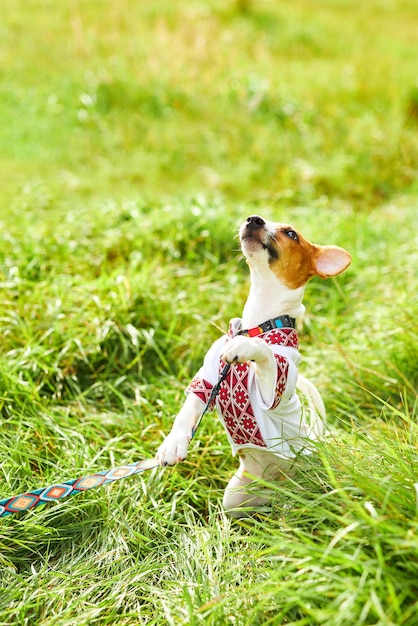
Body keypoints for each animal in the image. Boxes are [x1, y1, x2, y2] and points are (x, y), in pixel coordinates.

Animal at [155, 212, 352, 516]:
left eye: (291, 234)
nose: (253, 219)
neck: (257, 323)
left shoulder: (277, 381)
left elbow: (265, 353)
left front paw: (245, 347)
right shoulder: (208, 380)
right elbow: (186, 412)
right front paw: (173, 444)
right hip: (235, 498)